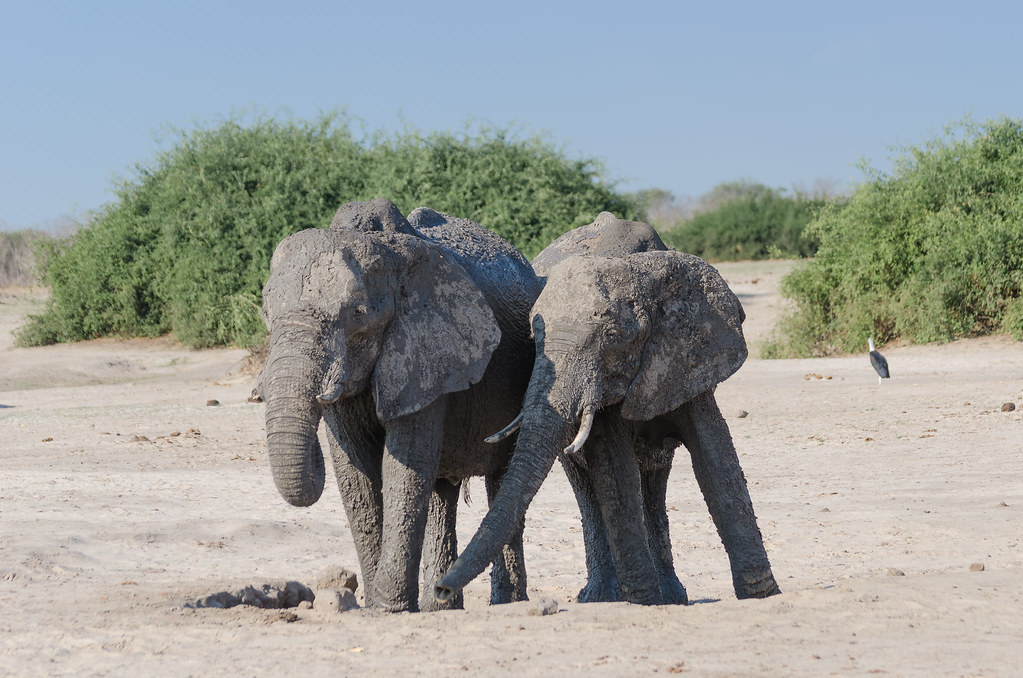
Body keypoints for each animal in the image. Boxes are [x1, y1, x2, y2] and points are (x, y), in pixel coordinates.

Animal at [253, 198, 541, 612]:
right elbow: (355, 472)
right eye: (266, 313)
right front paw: (377, 605)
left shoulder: (427, 350)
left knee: (499, 481)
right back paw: (441, 606)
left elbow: (403, 466)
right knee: (442, 491)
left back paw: (505, 603)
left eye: (358, 313)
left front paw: (388, 608)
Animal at [436, 212, 780, 605]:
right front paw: (645, 601)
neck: (636, 268)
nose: (441, 590)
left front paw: (762, 594)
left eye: (613, 337)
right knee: (588, 484)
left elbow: (715, 457)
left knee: (654, 478)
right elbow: (615, 469)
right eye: (534, 340)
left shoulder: (686, 353)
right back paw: (603, 597)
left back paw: (670, 595)